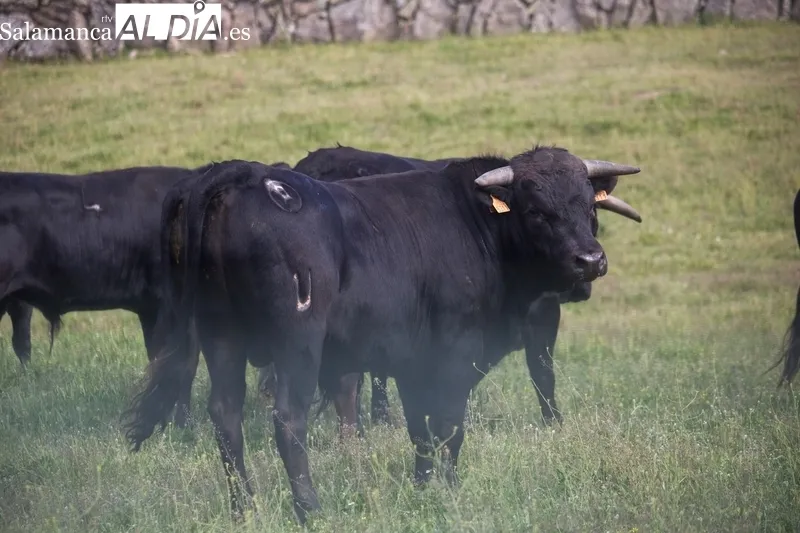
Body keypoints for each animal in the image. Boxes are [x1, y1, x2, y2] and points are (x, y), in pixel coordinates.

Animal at [124, 145, 643, 523]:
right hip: (296, 345)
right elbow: (450, 427)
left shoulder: (413, 364)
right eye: (536, 210)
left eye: (587, 204)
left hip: (222, 337)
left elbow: (420, 430)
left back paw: (244, 509)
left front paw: (422, 485)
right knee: (288, 419)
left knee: (226, 417)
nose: (590, 260)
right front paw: (449, 489)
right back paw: (309, 509)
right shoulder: (455, 357)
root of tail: (240, 177)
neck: (479, 230)